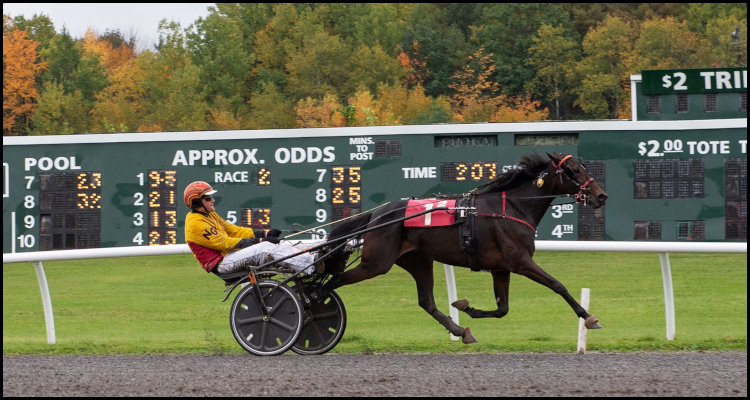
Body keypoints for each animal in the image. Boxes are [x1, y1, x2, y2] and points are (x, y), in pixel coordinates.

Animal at [324, 153, 612, 344]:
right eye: (573, 171)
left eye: (584, 167)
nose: (601, 195)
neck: (512, 208)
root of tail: (376, 215)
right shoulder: (520, 261)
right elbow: (557, 285)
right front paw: (589, 317)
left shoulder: (501, 268)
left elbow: (502, 309)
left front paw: (466, 308)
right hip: (376, 262)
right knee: (329, 283)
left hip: (417, 260)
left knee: (426, 301)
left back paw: (461, 331)